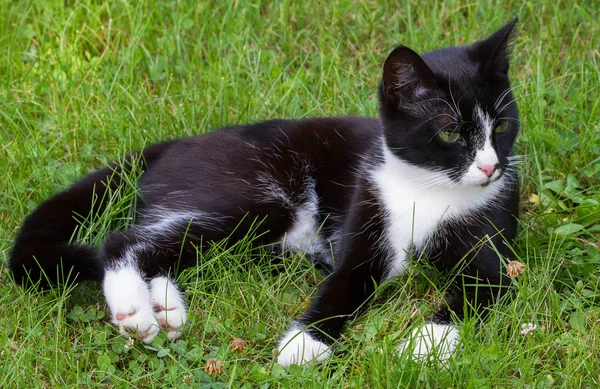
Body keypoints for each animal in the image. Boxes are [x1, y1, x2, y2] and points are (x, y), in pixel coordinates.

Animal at [7, 17, 516, 364]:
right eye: (450, 133)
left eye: (502, 125)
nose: (491, 166)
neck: (427, 188)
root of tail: (176, 143)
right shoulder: (368, 212)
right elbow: (346, 281)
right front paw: (304, 345)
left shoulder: (495, 247)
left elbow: (480, 289)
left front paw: (425, 344)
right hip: (256, 198)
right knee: (123, 239)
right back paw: (134, 308)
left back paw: (165, 307)